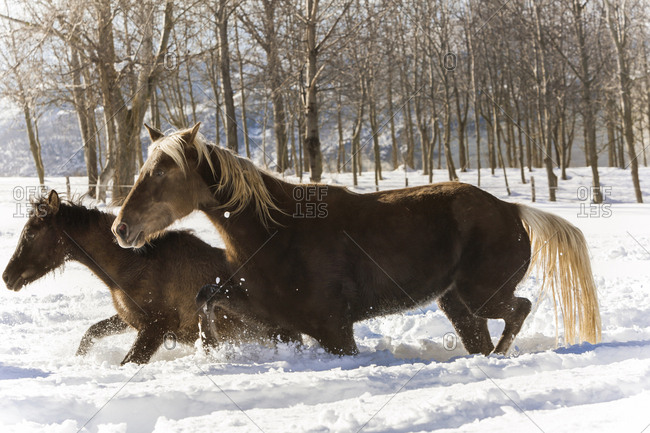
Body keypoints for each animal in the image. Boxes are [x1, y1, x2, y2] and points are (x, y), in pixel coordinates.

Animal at [3, 190, 300, 364]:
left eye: (31, 232)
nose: (7, 276)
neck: (130, 268)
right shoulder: (132, 320)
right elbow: (90, 334)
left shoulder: (157, 327)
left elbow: (128, 361)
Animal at [112, 123, 601, 356]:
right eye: (145, 168)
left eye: (164, 171)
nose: (121, 228)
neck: (276, 233)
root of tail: (512, 210)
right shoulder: (278, 319)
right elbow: (206, 297)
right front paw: (209, 344)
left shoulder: (336, 330)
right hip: (458, 304)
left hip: (483, 294)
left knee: (519, 309)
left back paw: (501, 357)